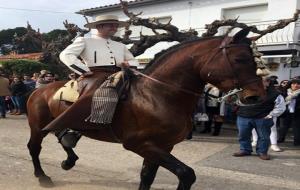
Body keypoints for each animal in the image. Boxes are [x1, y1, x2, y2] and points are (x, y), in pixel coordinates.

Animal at [26, 27, 264, 189]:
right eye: (240, 58)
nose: (256, 96)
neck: (158, 94)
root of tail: (39, 90)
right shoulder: (140, 144)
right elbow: (186, 173)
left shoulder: (163, 146)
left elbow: (147, 176)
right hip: (38, 127)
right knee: (34, 147)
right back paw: (43, 176)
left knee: (60, 135)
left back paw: (68, 159)